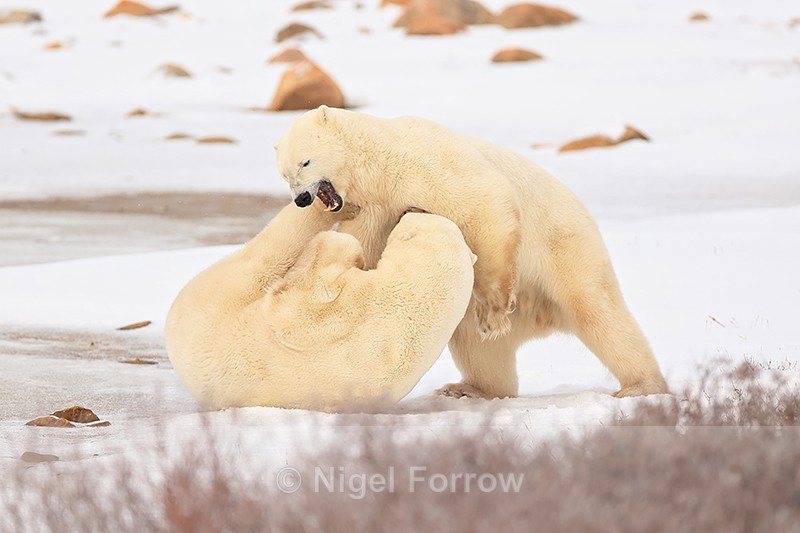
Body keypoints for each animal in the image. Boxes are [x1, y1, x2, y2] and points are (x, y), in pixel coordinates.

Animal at [165, 201, 475, 411]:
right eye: (422, 213)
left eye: (415, 217)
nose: (411, 208)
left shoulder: (342, 317)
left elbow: (300, 298)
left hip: (216, 297)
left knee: (265, 255)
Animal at [274, 105, 669, 399]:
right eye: (284, 174)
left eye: (306, 162)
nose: (302, 198)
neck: (376, 162)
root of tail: (540, 317)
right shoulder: (374, 208)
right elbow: (365, 251)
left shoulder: (419, 163)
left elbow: (483, 203)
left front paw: (493, 313)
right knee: (474, 345)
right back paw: (470, 388)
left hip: (566, 246)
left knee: (598, 312)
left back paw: (640, 384)